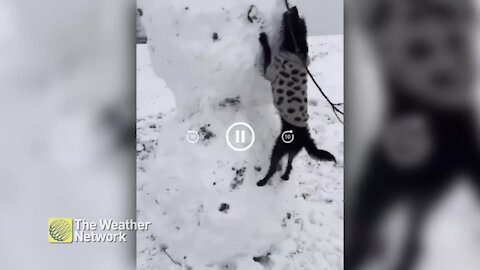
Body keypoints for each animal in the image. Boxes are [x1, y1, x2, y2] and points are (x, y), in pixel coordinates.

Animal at [256, 6, 336, 188]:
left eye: (295, 21)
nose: (293, 7)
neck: (296, 50)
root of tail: (304, 136)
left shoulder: (270, 71)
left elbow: (267, 53)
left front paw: (264, 39)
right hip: (293, 150)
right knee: (290, 164)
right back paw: (285, 176)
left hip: (280, 147)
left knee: (273, 167)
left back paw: (263, 181)